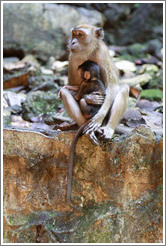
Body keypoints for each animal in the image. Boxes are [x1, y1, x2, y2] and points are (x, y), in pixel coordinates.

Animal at [66, 60, 105, 202]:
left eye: (81, 72)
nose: (78, 73)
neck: (94, 79)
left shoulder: (84, 83)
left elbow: (79, 97)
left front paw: (74, 91)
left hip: (88, 111)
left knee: (82, 100)